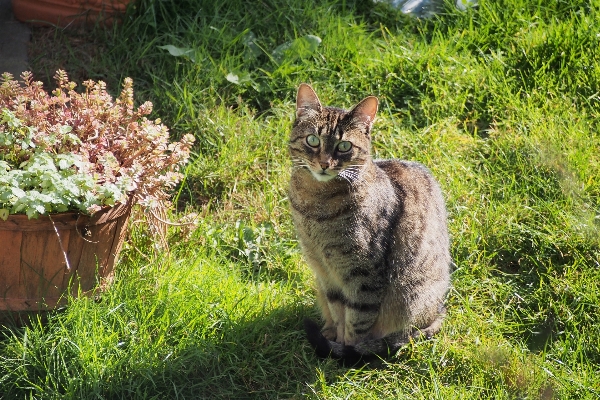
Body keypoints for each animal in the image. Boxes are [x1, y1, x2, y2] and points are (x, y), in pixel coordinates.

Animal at [288, 83, 450, 364]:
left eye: (344, 146)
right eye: (313, 140)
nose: (324, 164)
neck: (315, 205)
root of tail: (439, 310)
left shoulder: (364, 273)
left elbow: (357, 320)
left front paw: (348, 351)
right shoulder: (325, 272)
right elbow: (338, 310)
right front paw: (337, 338)